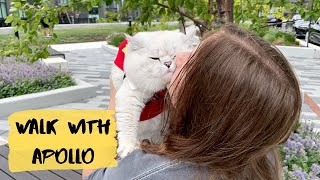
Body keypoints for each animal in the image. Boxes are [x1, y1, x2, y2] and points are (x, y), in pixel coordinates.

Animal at [112, 30, 198, 158]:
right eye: (155, 58)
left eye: (175, 56)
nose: (168, 63)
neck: (160, 93)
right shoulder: (130, 95)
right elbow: (128, 123)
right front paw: (128, 147)